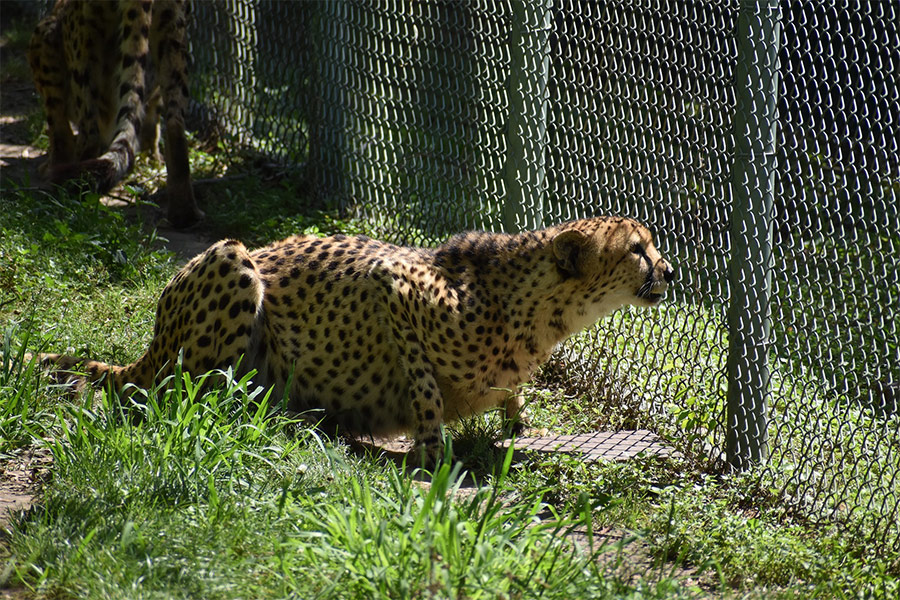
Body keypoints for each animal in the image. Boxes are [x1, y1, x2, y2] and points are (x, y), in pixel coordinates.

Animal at [28, 0, 203, 228]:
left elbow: (58, 128)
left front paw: (52, 166)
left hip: (72, 44)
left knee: (88, 133)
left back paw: (70, 197)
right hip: (171, 35)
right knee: (174, 124)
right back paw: (184, 214)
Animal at [34, 217, 674, 464]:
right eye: (637, 249)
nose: (670, 271)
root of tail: (153, 340)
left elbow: (512, 397)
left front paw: (519, 425)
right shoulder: (391, 283)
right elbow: (424, 385)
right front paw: (432, 447)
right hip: (232, 260)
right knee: (179, 393)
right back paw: (278, 416)